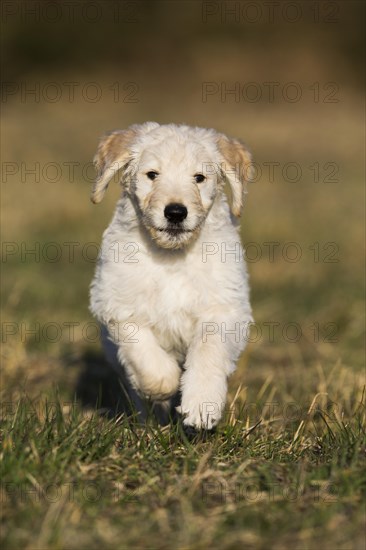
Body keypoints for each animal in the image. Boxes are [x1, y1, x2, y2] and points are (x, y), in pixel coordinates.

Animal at [90, 123, 253, 434]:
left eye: (199, 178)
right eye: (152, 174)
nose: (176, 212)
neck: (172, 258)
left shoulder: (222, 309)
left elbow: (208, 352)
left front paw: (201, 406)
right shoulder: (119, 305)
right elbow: (145, 357)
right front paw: (164, 386)